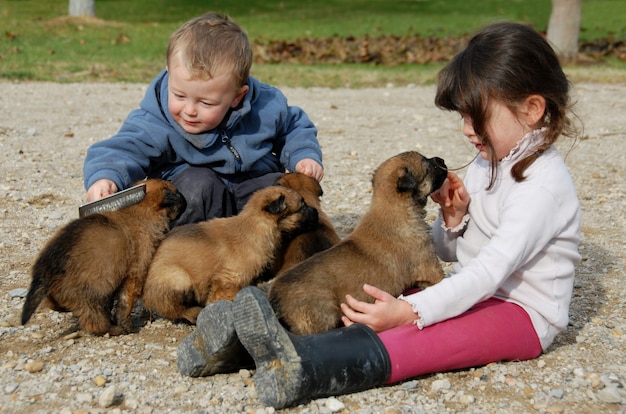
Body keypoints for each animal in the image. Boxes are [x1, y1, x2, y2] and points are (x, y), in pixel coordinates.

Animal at [21, 179, 185, 336]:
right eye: (176, 192)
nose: (184, 200)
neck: (138, 211)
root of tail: (46, 265)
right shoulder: (135, 272)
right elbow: (125, 303)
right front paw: (127, 325)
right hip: (93, 290)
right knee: (94, 319)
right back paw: (112, 329)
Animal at [141, 186, 316, 326]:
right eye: (302, 206)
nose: (316, 211)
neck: (254, 226)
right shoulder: (228, 279)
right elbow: (224, 297)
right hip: (178, 278)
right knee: (171, 307)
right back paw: (192, 313)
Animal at [268, 150, 448, 334]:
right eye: (428, 166)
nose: (441, 160)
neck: (394, 207)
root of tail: (275, 298)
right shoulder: (432, 270)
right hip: (322, 316)